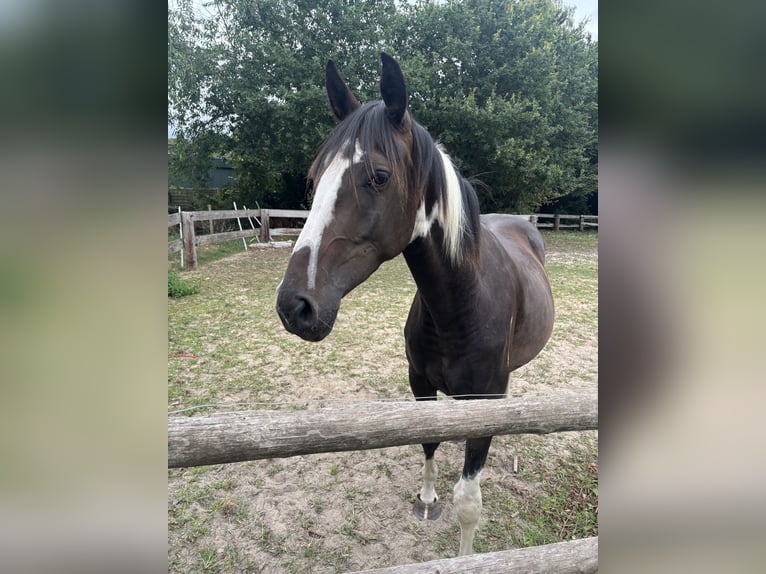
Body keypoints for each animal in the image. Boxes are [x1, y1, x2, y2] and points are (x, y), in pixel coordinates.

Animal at [275, 53, 554, 556]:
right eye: (315, 177)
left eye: (379, 176)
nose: (294, 305)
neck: (460, 307)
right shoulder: (420, 386)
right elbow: (427, 445)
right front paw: (426, 499)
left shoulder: (483, 404)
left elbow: (469, 503)